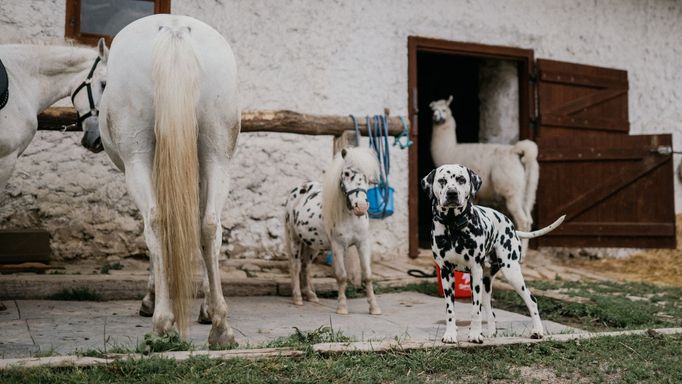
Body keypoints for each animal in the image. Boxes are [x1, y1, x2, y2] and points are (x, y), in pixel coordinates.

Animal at [97, 15, 240, 346]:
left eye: (102, 84)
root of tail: (174, 29)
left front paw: (151, 300)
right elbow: (200, 227)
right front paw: (207, 308)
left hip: (137, 160)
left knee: (156, 222)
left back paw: (163, 322)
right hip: (217, 155)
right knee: (210, 225)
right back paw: (221, 328)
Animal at [282, 147, 382, 316]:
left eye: (366, 175)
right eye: (346, 173)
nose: (361, 207)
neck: (349, 217)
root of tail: (297, 190)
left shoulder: (363, 244)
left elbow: (368, 276)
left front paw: (374, 308)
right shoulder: (338, 246)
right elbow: (341, 276)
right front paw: (342, 307)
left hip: (313, 245)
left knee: (306, 266)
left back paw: (311, 295)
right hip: (294, 239)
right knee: (296, 265)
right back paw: (298, 298)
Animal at [420, 164, 564, 344]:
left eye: (461, 179)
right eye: (442, 181)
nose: (452, 193)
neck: (453, 226)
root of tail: (511, 226)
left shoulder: (475, 271)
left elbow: (475, 310)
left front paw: (475, 334)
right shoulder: (446, 273)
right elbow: (450, 310)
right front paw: (450, 334)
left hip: (511, 273)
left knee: (532, 301)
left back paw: (537, 331)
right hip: (486, 282)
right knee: (491, 310)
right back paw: (491, 333)